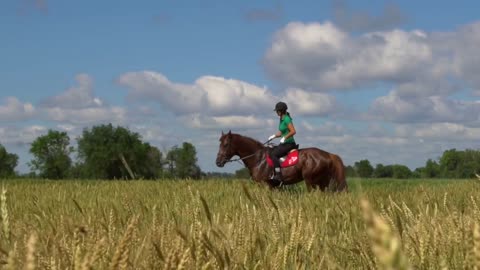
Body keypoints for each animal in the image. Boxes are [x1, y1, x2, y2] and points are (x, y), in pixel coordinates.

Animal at [216, 131, 346, 192]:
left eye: (226, 145)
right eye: (219, 144)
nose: (218, 162)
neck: (258, 158)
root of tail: (328, 154)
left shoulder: (265, 185)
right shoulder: (273, 187)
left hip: (311, 181)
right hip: (323, 182)